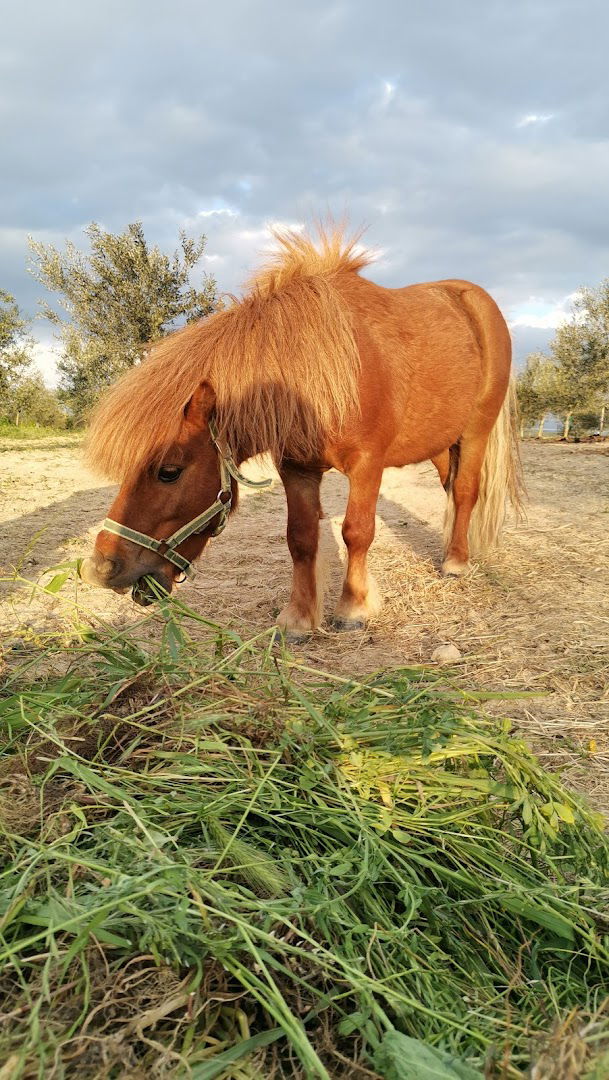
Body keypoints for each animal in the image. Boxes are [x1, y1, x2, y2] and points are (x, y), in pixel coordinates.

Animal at [82, 226, 522, 630]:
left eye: (169, 472)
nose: (102, 568)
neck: (320, 372)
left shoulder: (367, 465)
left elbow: (357, 531)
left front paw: (353, 608)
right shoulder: (297, 469)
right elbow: (300, 538)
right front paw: (298, 618)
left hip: (475, 432)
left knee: (465, 491)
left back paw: (456, 562)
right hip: (438, 441)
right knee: (450, 487)